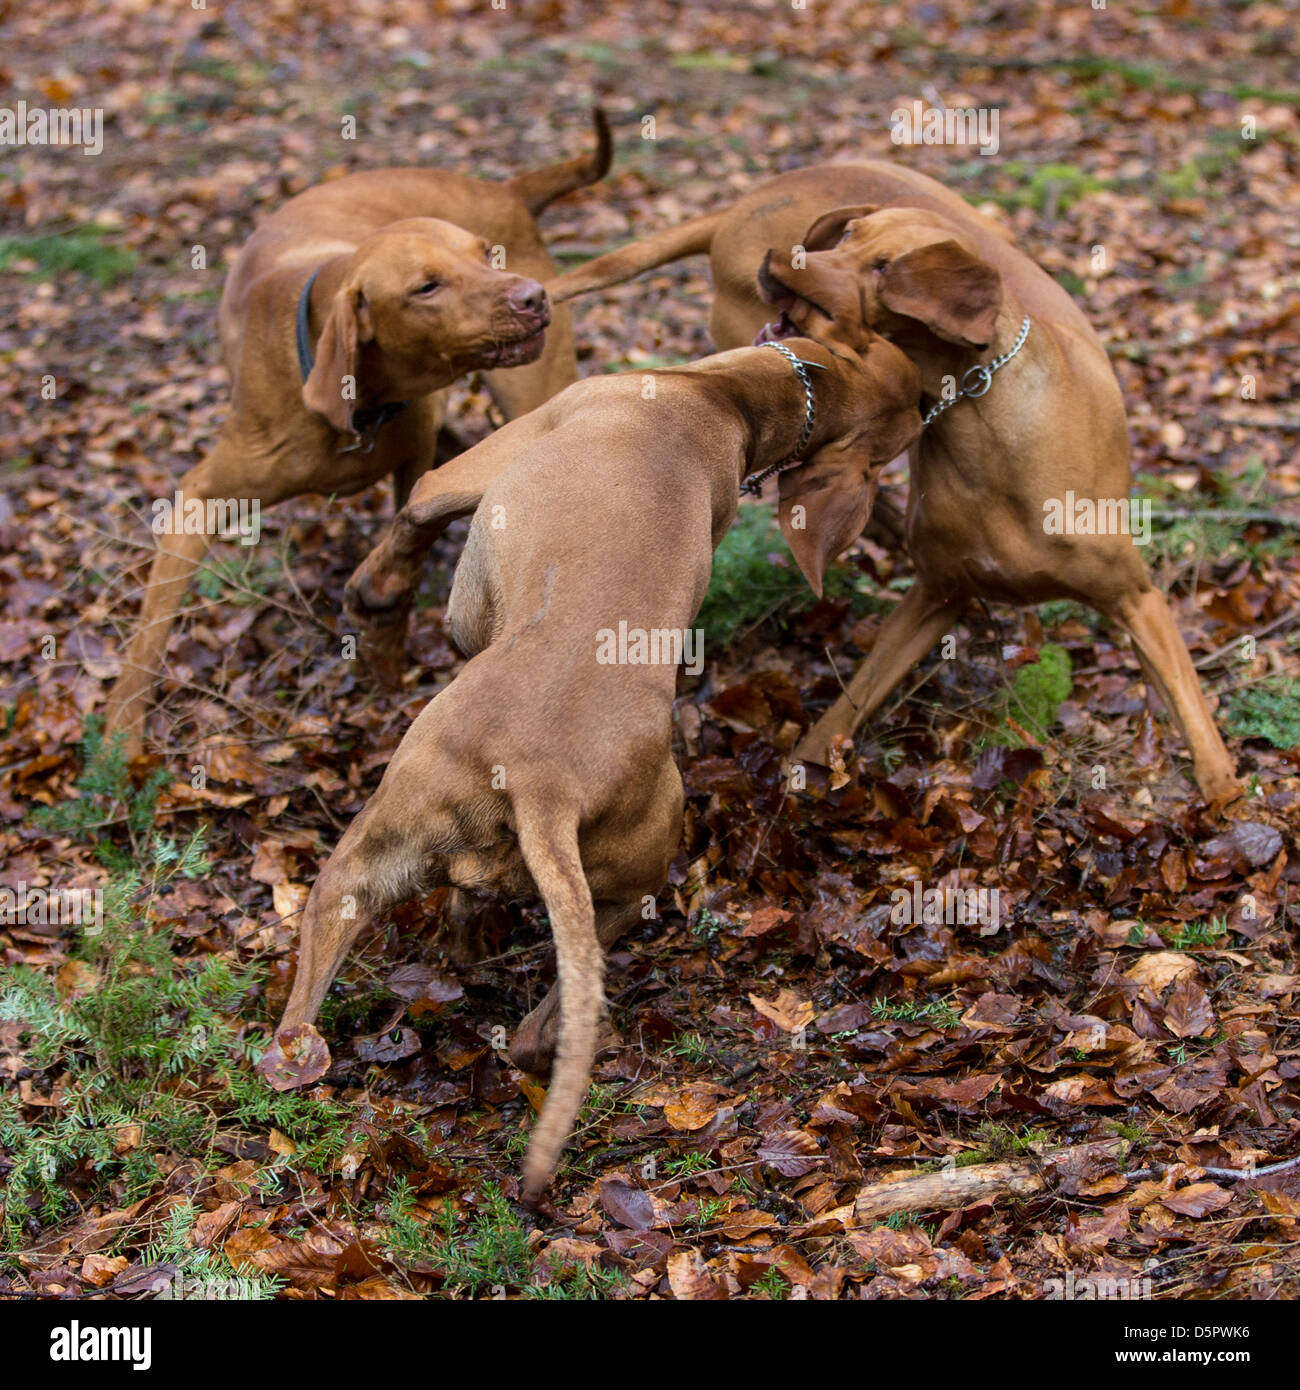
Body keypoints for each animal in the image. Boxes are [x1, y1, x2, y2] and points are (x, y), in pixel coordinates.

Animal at [101, 112, 608, 756]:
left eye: (485, 255)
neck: (356, 406)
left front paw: (385, 632)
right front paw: (119, 739)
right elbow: (150, 629)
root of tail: (504, 188)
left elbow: (415, 533)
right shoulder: (200, 498)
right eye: (426, 287)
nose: (533, 297)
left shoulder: (415, 456)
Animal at [257, 330, 923, 1200]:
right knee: (517, 1017)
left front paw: (376, 594)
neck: (732, 397)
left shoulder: (468, 485)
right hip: (591, 879)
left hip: (482, 849)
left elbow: (414, 512)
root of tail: (543, 782)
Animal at [547, 159, 1240, 806]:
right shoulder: (937, 593)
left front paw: (1226, 799)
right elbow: (843, 708)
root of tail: (744, 203)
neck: (981, 425)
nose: (782, 257)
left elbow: (1198, 725)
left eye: (883, 267)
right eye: (847, 235)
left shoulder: (1136, 599)